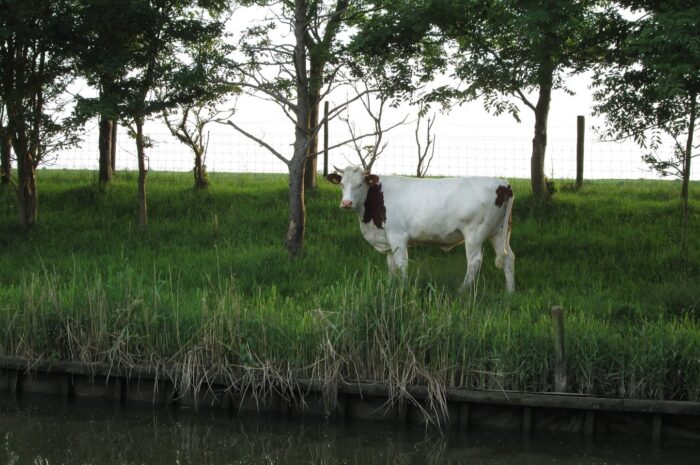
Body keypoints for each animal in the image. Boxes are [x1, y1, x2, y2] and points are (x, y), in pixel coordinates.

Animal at [326, 165, 516, 292]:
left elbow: (401, 264)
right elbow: (391, 265)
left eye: (360, 184)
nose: (346, 203)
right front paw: (390, 285)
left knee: (475, 261)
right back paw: (510, 292)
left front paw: (402, 288)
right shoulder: (387, 239)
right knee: (508, 258)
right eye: (342, 184)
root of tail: (503, 183)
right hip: (498, 232)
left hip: (475, 234)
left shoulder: (398, 236)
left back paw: (462, 291)